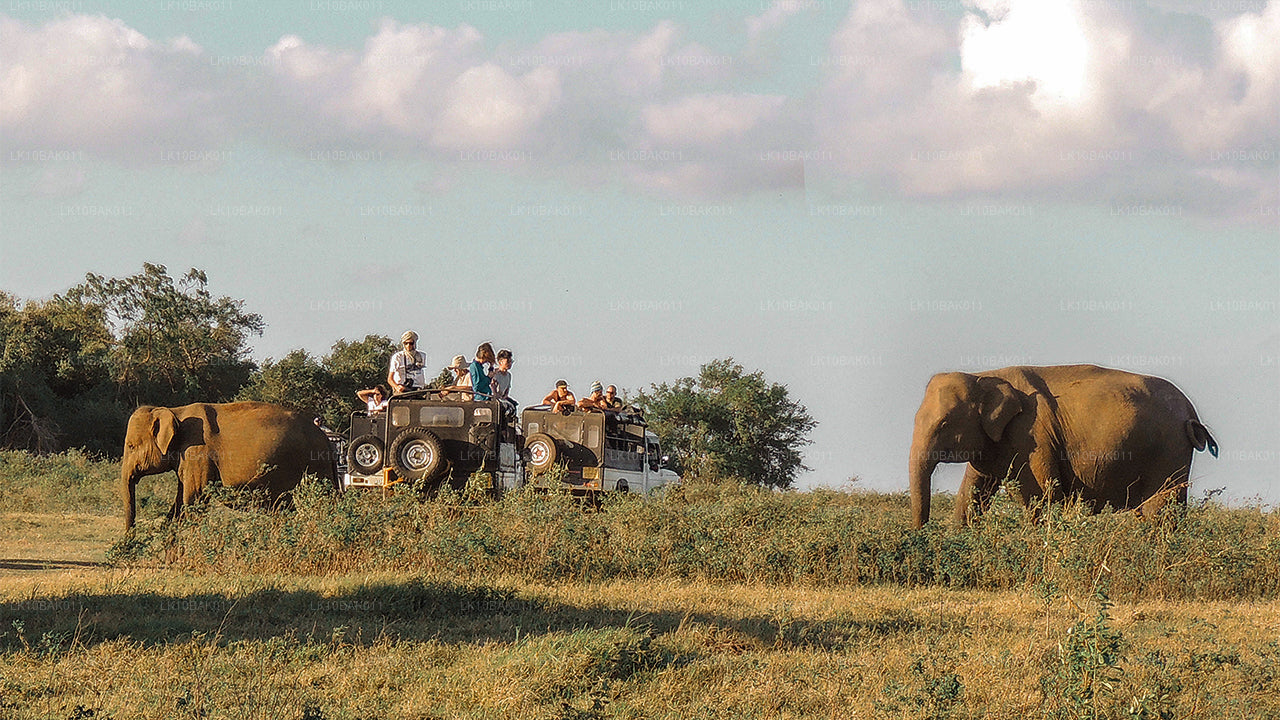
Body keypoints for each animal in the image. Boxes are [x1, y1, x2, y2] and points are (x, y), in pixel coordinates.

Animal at [120, 399, 337, 530]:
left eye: (131, 446)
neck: (174, 410)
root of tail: (325, 437)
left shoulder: (198, 453)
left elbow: (194, 500)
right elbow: (179, 503)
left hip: (314, 465)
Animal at [906, 363, 1213, 527]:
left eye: (944, 423)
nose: (922, 533)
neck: (984, 375)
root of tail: (1191, 412)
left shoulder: (1031, 436)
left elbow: (1041, 495)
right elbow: (972, 493)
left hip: (1169, 451)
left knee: (1158, 511)